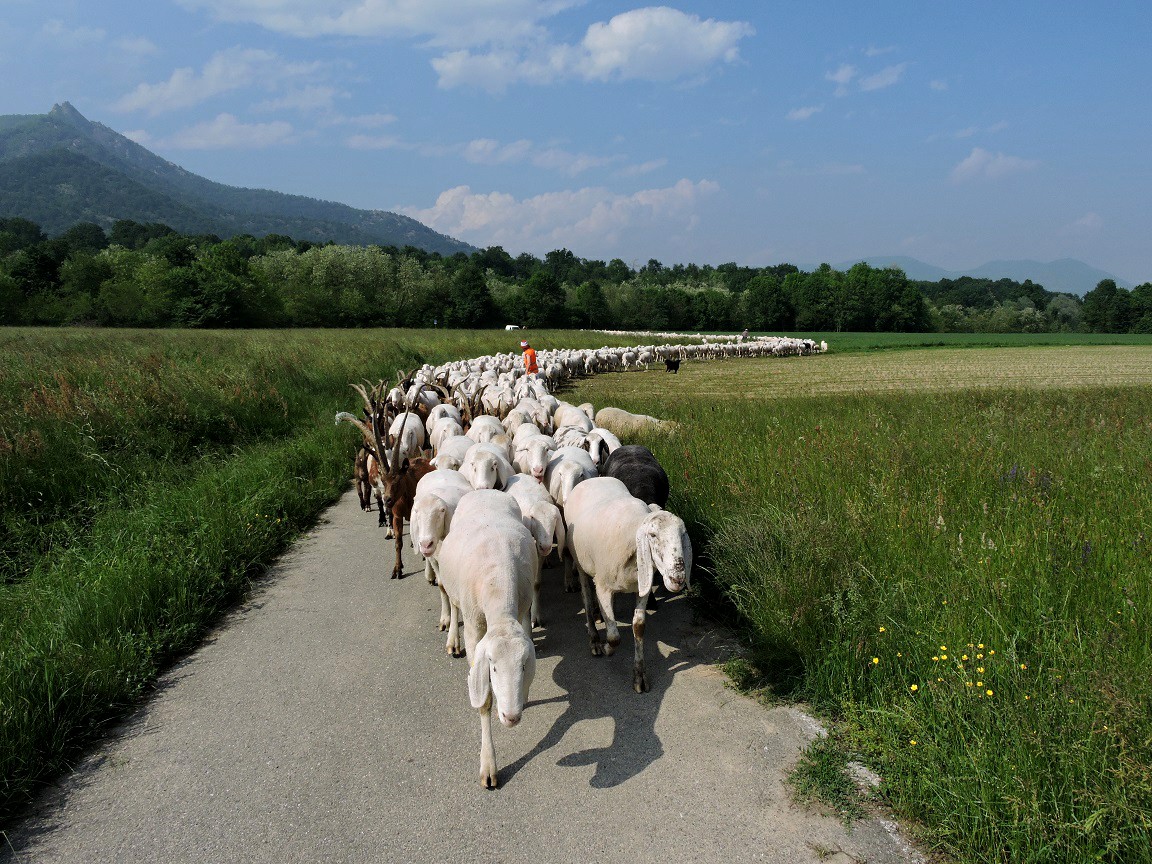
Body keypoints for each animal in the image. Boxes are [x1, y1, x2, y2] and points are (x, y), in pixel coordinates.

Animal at [433, 490, 536, 787]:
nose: (511, 717)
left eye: (523, 666)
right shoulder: (474, 630)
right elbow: (484, 701)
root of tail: (485, 490)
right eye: (492, 666)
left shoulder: (521, 611)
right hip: (456, 590)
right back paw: (451, 638)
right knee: (453, 603)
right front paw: (488, 763)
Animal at [559, 476, 686, 695]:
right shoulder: (603, 586)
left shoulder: (642, 587)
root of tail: (595, 478)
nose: (678, 578)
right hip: (582, 566)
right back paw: (594, 639)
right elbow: (614, 637)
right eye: (652, 535)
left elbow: (639, 626)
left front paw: (639, 675)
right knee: (587, 599)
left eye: (682, 534)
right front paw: (607, 648)